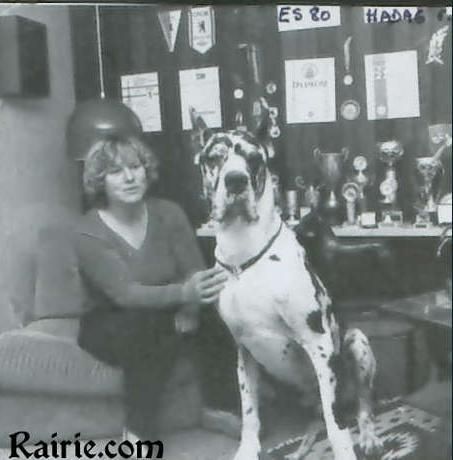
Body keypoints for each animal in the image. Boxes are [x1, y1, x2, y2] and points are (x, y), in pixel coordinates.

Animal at [197, 129, 382, 460]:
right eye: (214, 157)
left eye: (253, 158)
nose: (235, 180)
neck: (243, 258)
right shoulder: (243, 351)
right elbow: (249, 412)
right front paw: (247, 448)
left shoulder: (320, 348)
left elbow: (337, 426)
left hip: (356, 343)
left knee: (361, 404)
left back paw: (368, 435)